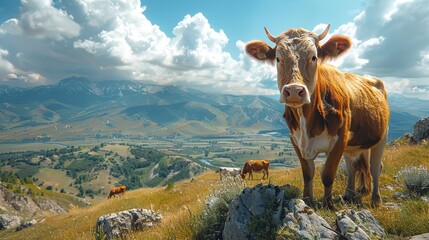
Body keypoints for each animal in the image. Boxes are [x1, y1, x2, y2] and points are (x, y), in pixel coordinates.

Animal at [244, 23, 388, 209]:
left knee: (375, 166)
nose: (294, 91)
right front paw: (307, 200)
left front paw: (328, 204)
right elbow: (307, 173)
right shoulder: (295, 139)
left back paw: (375, 199)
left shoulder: (340, 138)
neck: (307, 123)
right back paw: (349, 194)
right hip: (353, 144)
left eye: (314, 57)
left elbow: (327, 174)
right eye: (278, 58)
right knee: (352, 166)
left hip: (382, 136)